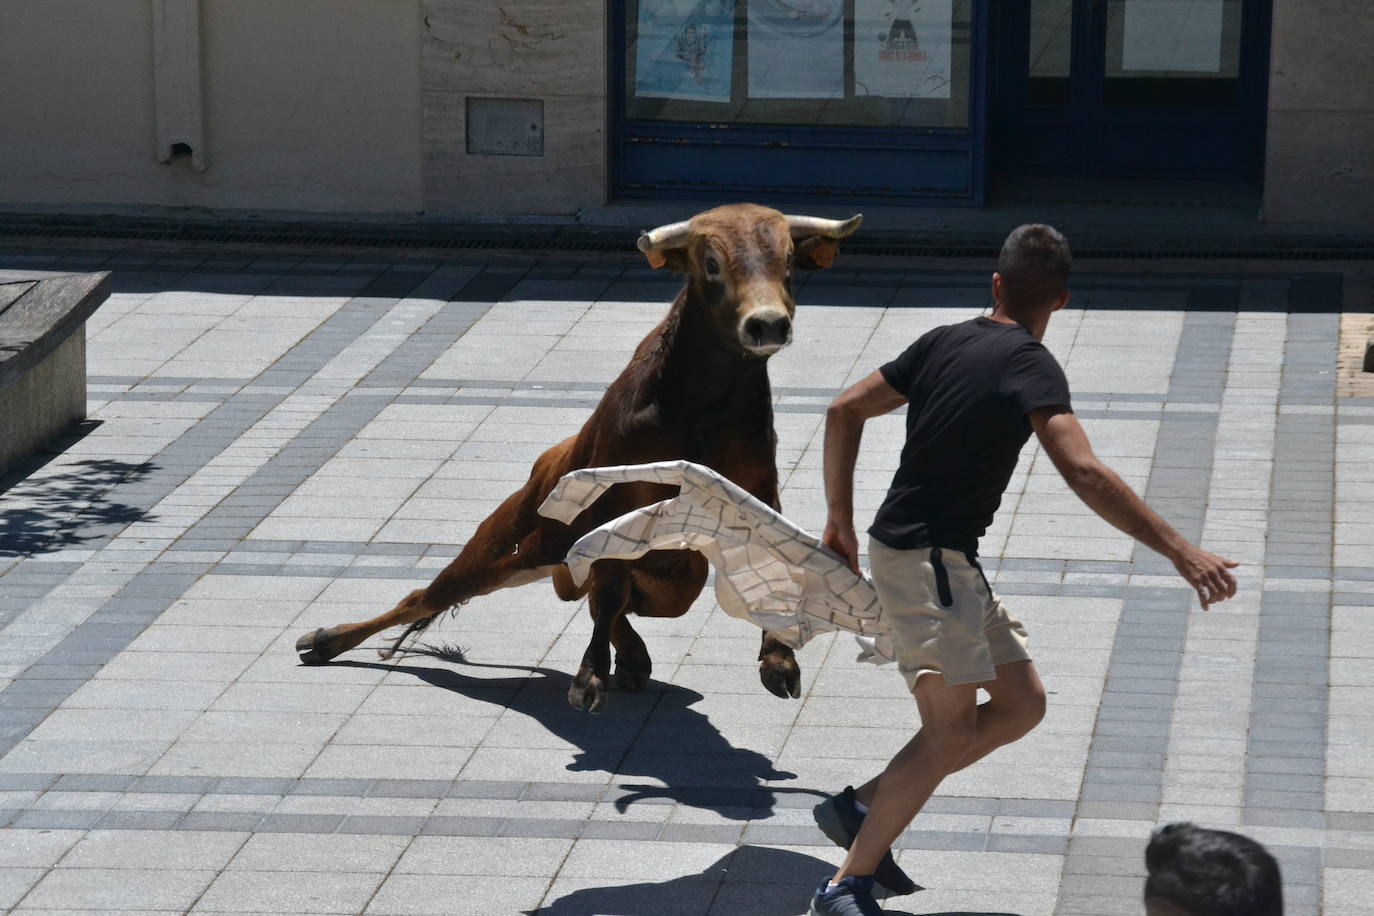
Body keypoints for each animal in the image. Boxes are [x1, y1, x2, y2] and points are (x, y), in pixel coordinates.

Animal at [299, 204, 857, 714]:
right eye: (712, 263)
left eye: (788, 260)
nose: (767, 324)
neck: (702, 407)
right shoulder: (612, 505)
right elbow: (608, 592)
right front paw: (588, 678)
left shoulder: (758, 492)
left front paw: (779, 661)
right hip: (497, 550)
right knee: (423, 597)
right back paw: (324, 641)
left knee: (619, 594)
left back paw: (631, 656)